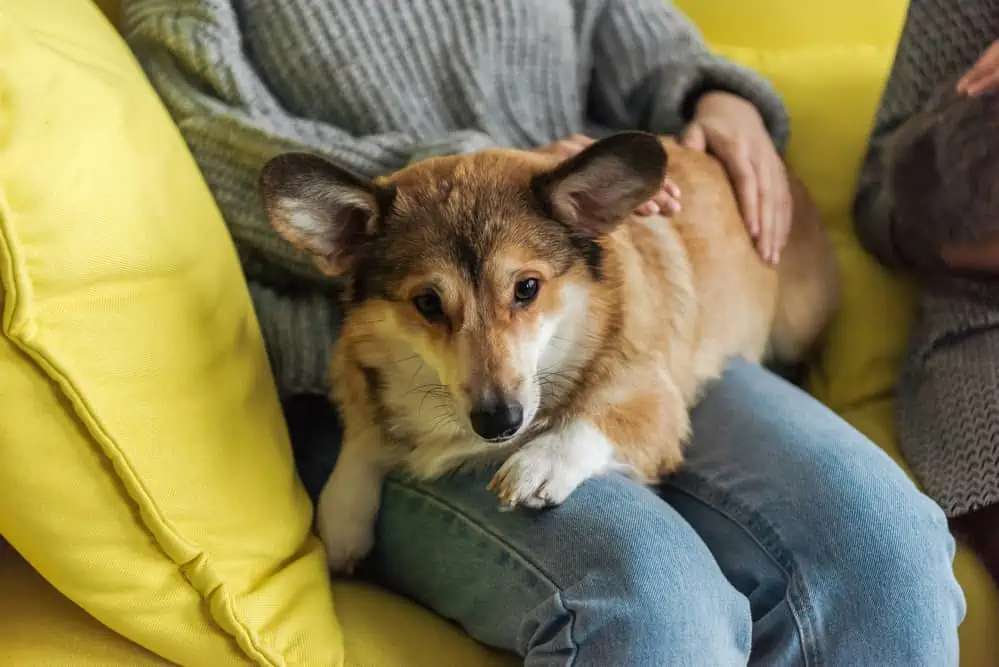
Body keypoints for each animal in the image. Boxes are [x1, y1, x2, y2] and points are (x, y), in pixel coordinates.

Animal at [262, 132, 840, 576]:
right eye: (427, 303)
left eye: (527, 288)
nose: (499, 422)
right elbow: (361, 440)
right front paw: (341, 522)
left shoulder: (658, 402)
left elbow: (593, 420)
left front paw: (538, 464)